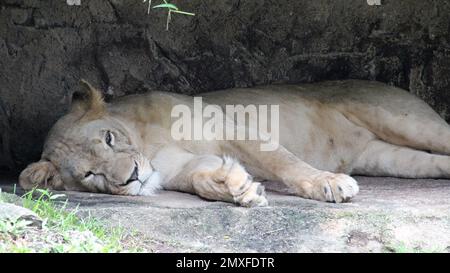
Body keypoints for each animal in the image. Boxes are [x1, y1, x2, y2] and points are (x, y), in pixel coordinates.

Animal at [18, 79, 450, 205]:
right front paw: (236, 186)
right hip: (386, 157)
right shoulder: (177, 167)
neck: (147, 144)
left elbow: (284, 162)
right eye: (89, 175)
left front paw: (328, 183)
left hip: (401, 120)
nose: (133, 178)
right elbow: (199, 178)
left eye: (108, 138)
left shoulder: (232, 128)